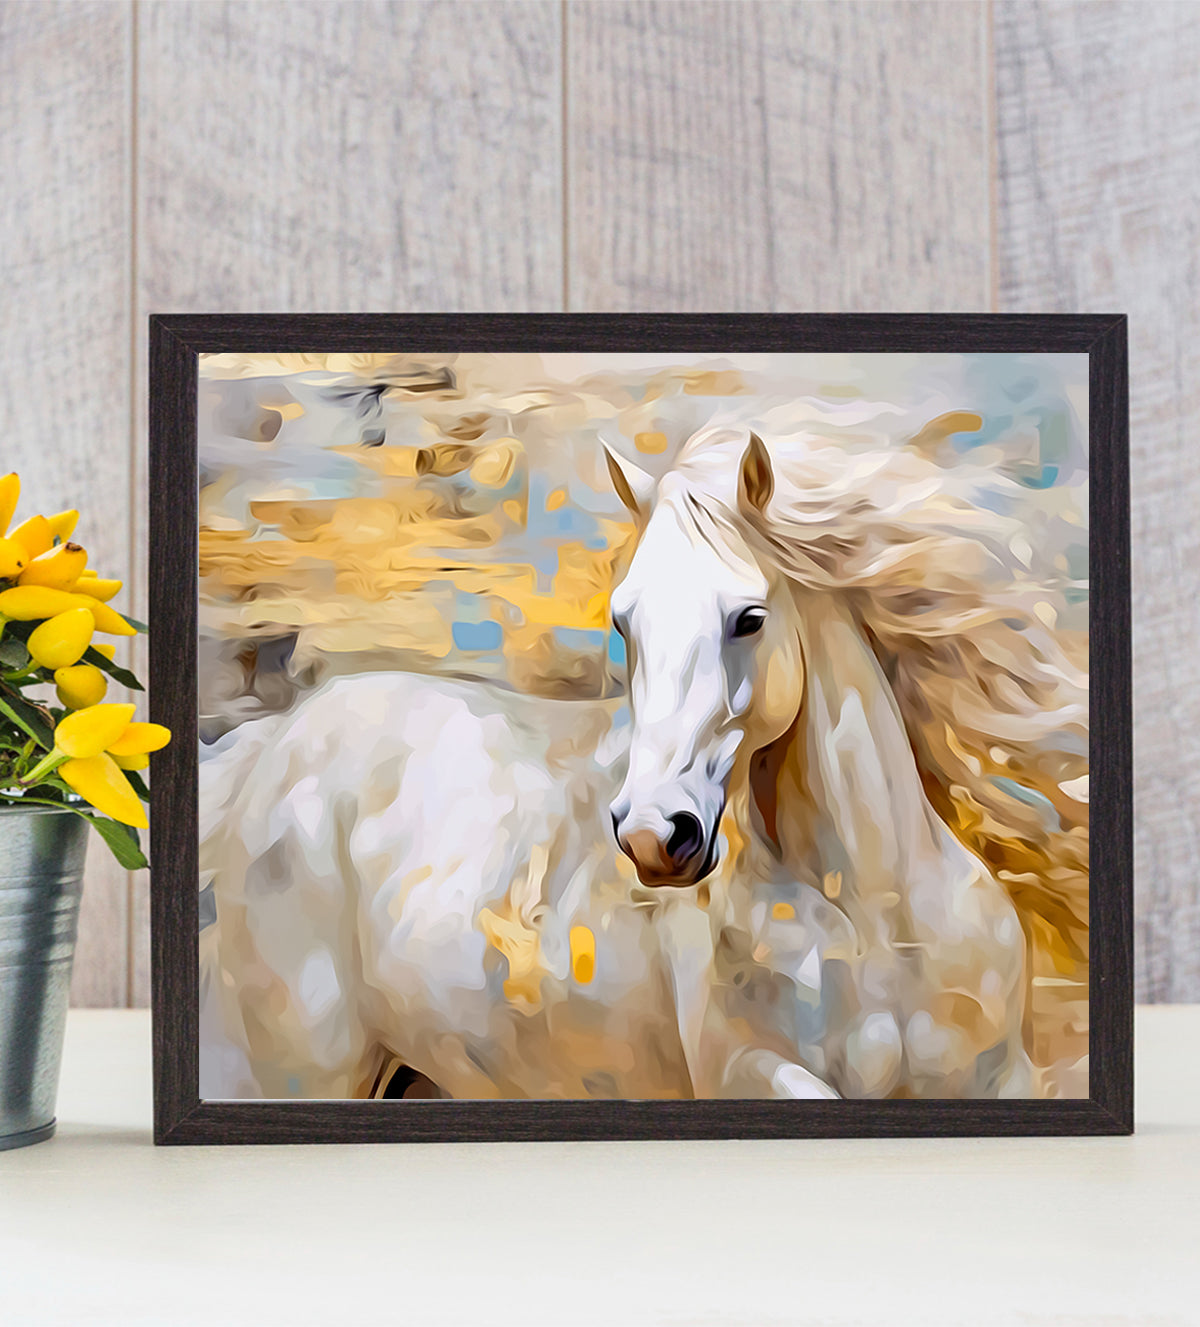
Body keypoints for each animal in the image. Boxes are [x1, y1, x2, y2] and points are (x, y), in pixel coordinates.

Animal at [200, 421, 1087, 1100]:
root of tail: (280, 743)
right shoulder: (752, 1075)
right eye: (624, 621)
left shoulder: (1002, 1077)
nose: (657, 836)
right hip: (294, 1073)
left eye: (750, 616)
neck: (873, 927)